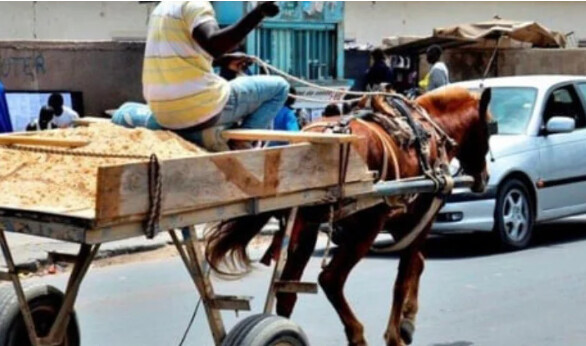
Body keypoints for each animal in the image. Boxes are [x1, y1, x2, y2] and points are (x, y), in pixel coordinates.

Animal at [203, 86, 490, 346]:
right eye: (490, 127)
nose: (485, 178)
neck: (429, 130)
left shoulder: (403, 221)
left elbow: (416, 265)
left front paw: (407, 323)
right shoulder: (423, 216)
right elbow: (404, 275)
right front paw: (396, 334)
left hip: (306, 225)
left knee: (287, 291)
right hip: (366, 226)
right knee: (330, 279)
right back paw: (356, 335)